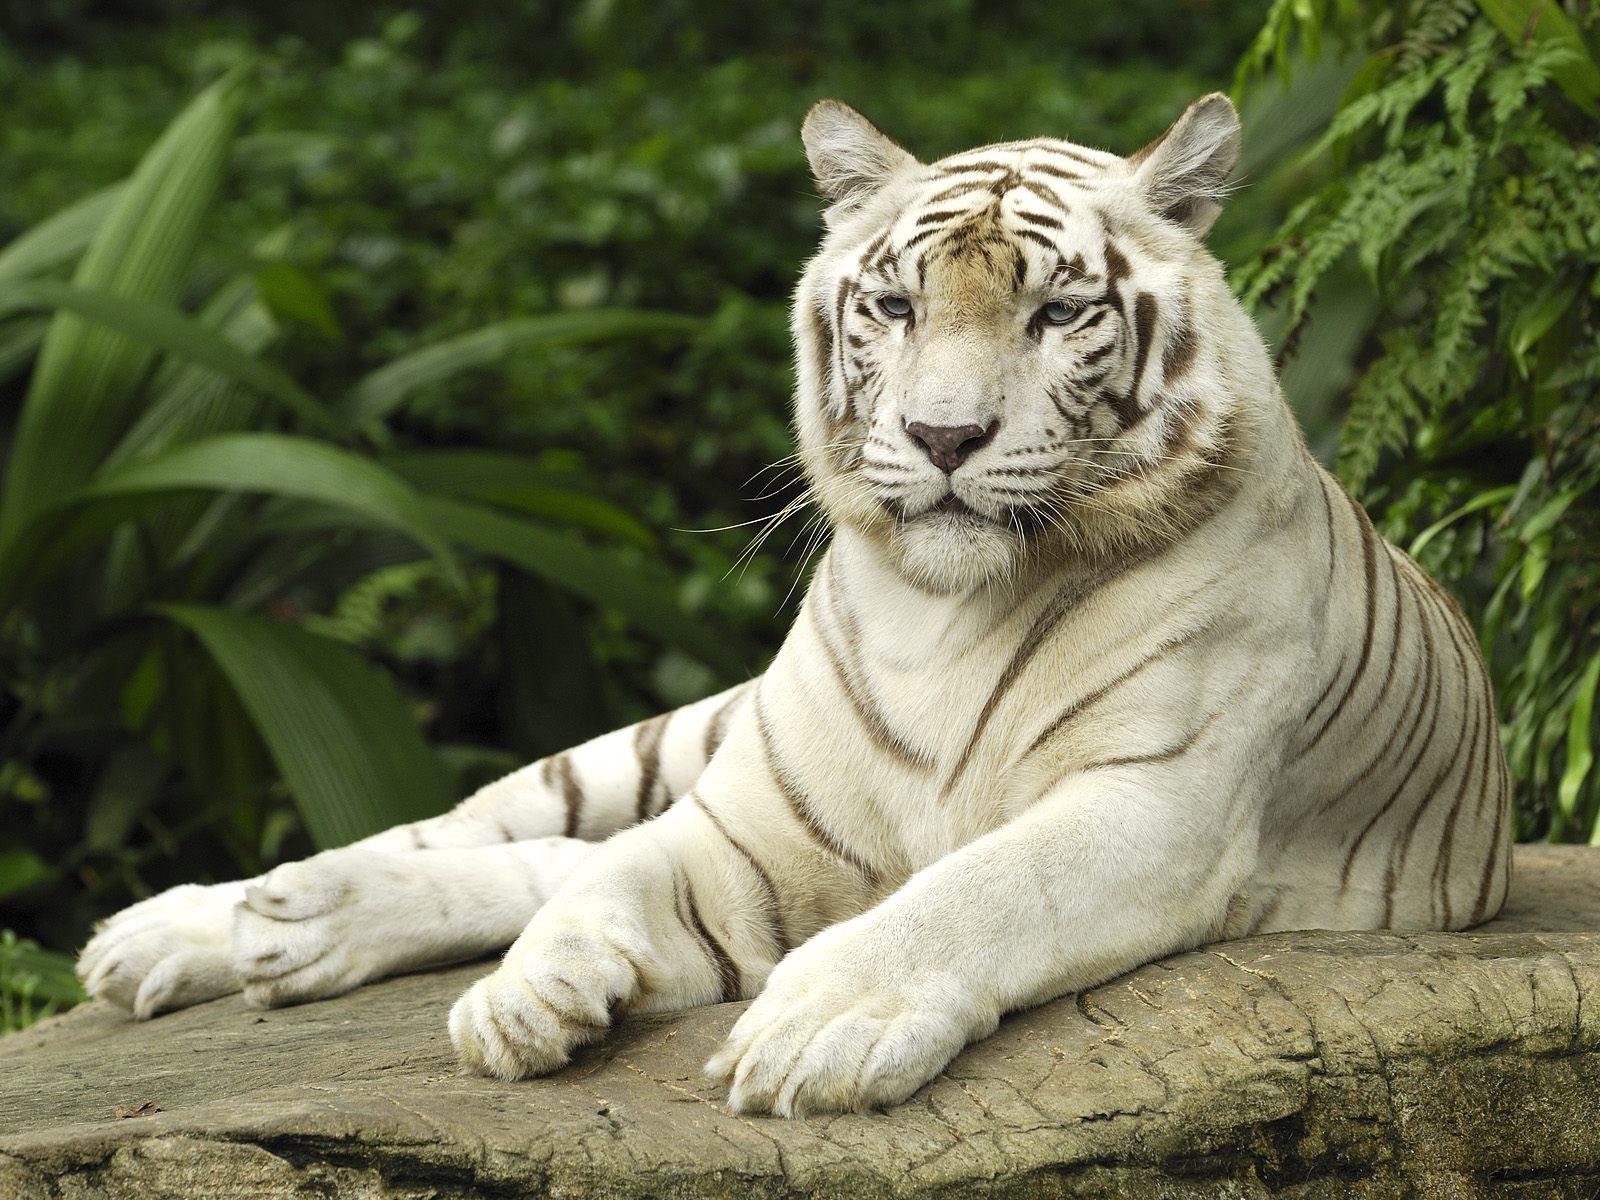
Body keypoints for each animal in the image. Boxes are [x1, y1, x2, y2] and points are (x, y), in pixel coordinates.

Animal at [76, 92, 1512, 1118]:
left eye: (1057, 314)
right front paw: (529, 999)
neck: (945, 613)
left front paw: (818, 1027)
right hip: (677, 741)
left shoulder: (1152, 806)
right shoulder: (756, 824)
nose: (943, 436)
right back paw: (223, 922)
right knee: (508, 834)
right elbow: (613, 878)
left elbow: (977, 891)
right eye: (893, 304)